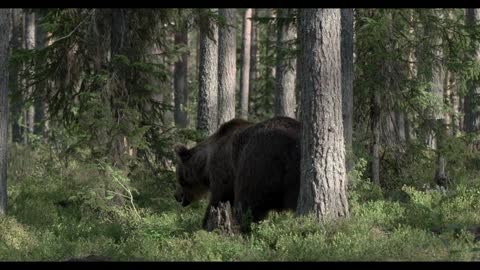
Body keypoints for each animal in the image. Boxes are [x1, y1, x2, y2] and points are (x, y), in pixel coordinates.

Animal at [172, 115, 300, 231]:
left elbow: (219, 198)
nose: (176, 196)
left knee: (248, 202)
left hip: (258, 162)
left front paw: (204, 224)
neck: (205, 165)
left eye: (179, 178)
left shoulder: (223, 170)